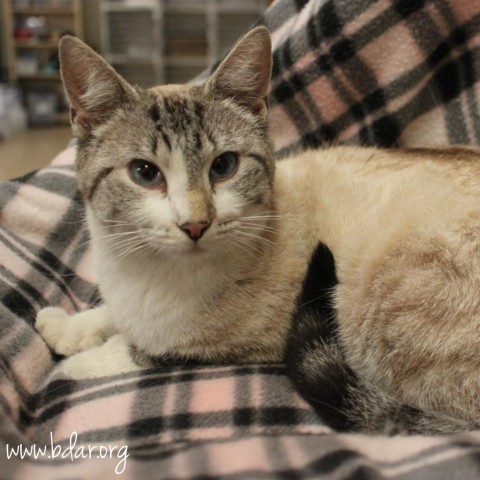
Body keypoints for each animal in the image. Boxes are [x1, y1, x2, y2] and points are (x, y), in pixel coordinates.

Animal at [35, 28, 480, 436]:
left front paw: (70, 368)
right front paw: (65, 327)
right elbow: (108, 314)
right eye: (145, 173)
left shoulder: (240, 344)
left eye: (224, 166)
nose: (195, 224)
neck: (147, 273)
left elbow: (140, 351)